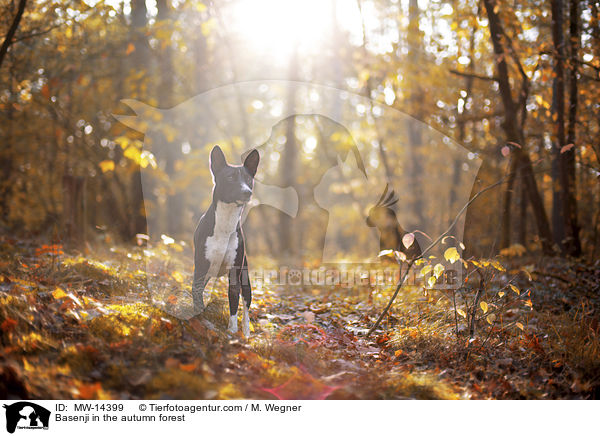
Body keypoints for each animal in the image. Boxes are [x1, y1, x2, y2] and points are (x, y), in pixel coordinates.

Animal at [191, 145, 258, 336]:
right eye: (230, 178)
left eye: (248, 179)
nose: (247, 192)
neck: (226, 221)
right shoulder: (200, 268)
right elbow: (197, 297)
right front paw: (200, 320)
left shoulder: (235, 272)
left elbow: (234, 302)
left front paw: (232, 331)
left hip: (246, 278)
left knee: (246, 306)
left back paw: (246, 332)